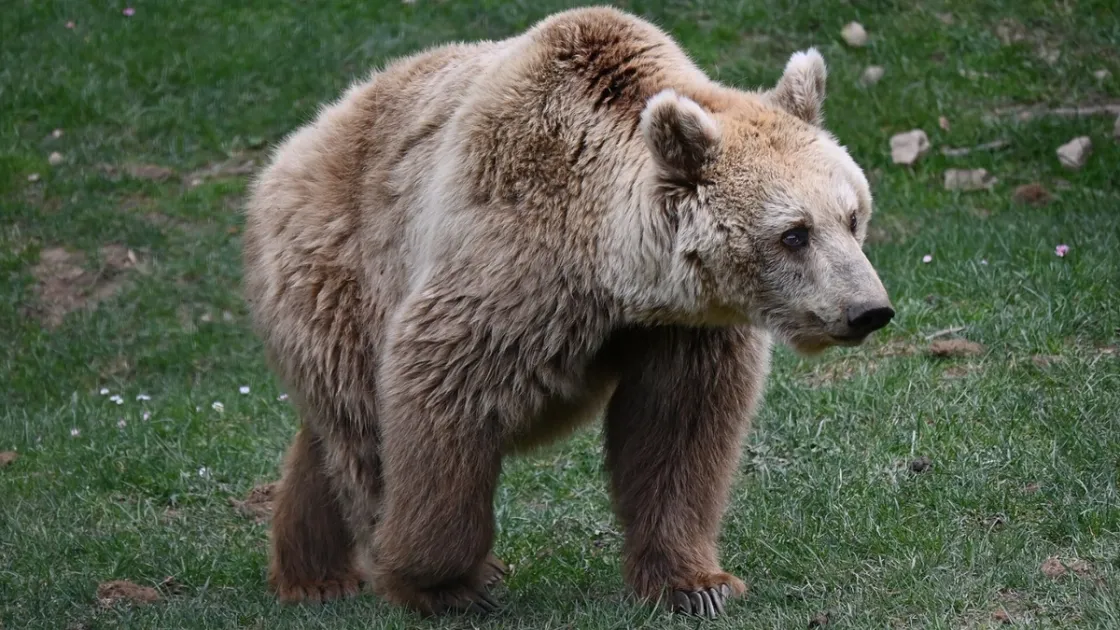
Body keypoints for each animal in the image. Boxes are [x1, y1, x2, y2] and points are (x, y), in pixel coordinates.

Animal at [241, 6, 894, 620]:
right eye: (794, 233)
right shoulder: (510, 266)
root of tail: (296, 144)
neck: (612, 268)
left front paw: (696, 584)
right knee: (362, 432)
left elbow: (678, 432)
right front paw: (446, 582)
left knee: (329, 439)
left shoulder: (682, 329)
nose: (870, 309)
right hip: (341, 271)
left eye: (852, 216)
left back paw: (313, 573)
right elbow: (443, 395)